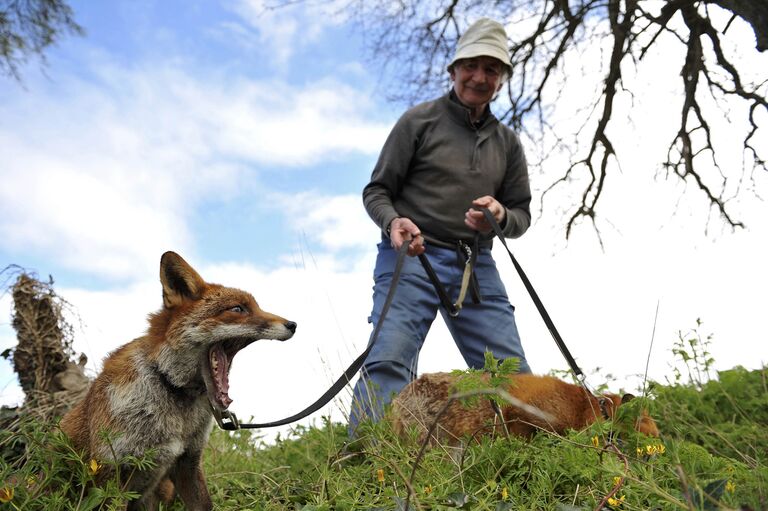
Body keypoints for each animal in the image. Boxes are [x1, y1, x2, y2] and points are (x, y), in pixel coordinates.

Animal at [58, 252, 294, 511]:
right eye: (238, 308)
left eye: (257, 306)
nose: (293, 325)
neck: (169, 386)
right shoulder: (110, 471)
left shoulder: (187, 462)